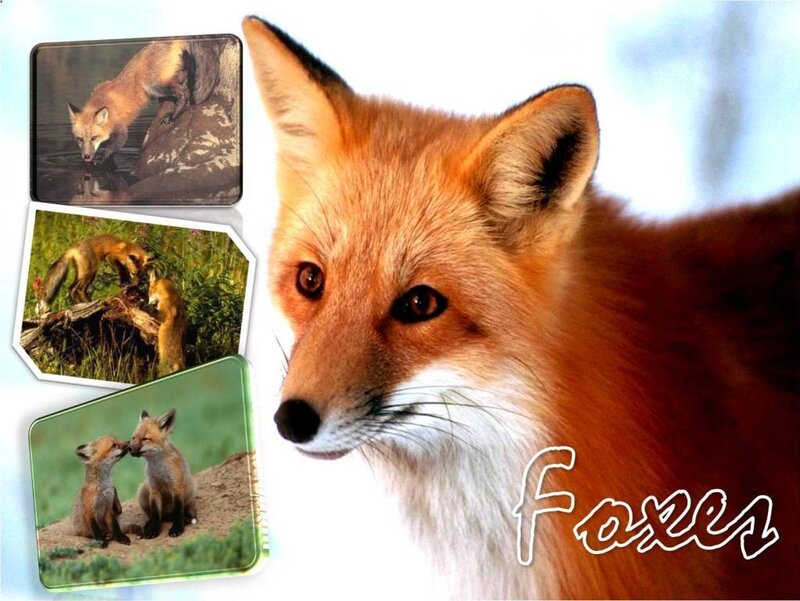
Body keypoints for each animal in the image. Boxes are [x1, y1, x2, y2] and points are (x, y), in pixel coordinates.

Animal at [67, 39, 218, 165]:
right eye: (80, 139)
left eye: (94, 138)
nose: (86, 157)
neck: (103, 101)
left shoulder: (121, 130)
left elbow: (111, 148)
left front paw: (101, 160)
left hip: (152, 86)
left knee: (184, 92)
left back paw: (173, 115)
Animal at [130, 409, 197, 538]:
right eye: (133, 437)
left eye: (145, 439)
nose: (129, 448)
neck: (159, 469)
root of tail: (168, 514)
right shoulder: (154, 489)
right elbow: (156, 514)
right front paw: (154, 530)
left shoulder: (176, 487)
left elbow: (178, 511)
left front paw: (177, 528)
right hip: (142, 490)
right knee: (157, 516)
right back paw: (149, 523)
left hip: (190, 490)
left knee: (186, 509)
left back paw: (187, 517)